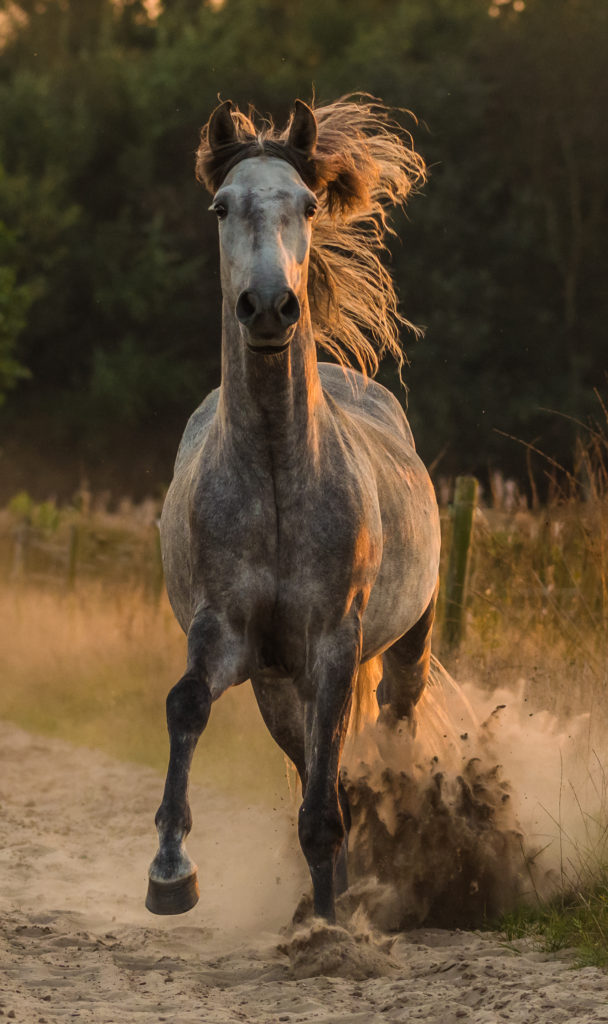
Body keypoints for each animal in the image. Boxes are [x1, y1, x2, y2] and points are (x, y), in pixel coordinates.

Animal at [146, 96, 440, 925]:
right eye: (222, 205)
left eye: (307, 204)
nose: (271, 307)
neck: (279, 479)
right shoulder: (227, 633)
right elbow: (187, 704)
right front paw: (171, 872)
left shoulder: (335, 646)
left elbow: (322, 798)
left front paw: (332, 926)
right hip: (278, 685)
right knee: (312, 759)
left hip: (404, 639)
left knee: (392, 718)